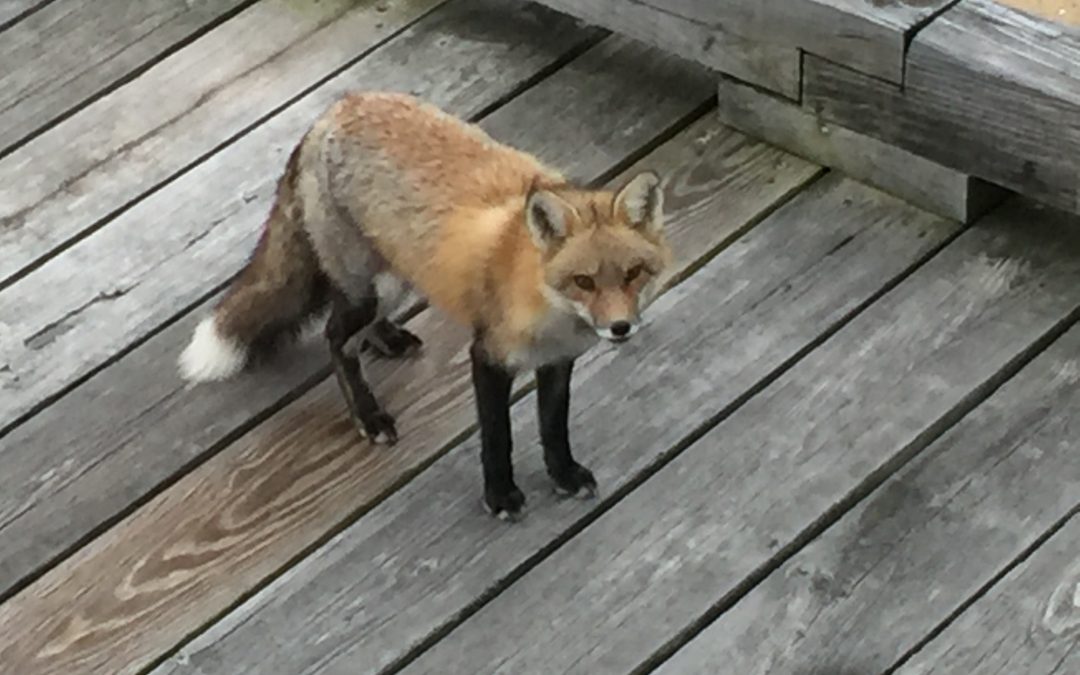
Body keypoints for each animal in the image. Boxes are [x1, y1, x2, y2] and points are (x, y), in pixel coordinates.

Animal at [179, 92, 672, 520]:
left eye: (633, 274)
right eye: (583, 282)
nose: (620, 328)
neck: (548, 310)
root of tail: (339, 107)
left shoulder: (557, 362)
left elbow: (554, 427)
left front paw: (564, 474)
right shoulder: (488, 357)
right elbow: (498, 437)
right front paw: (500, 494)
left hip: (397, 275)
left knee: (357, 330)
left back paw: (388, 339)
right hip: (372, 288)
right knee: (336, 337)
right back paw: (368, 414)